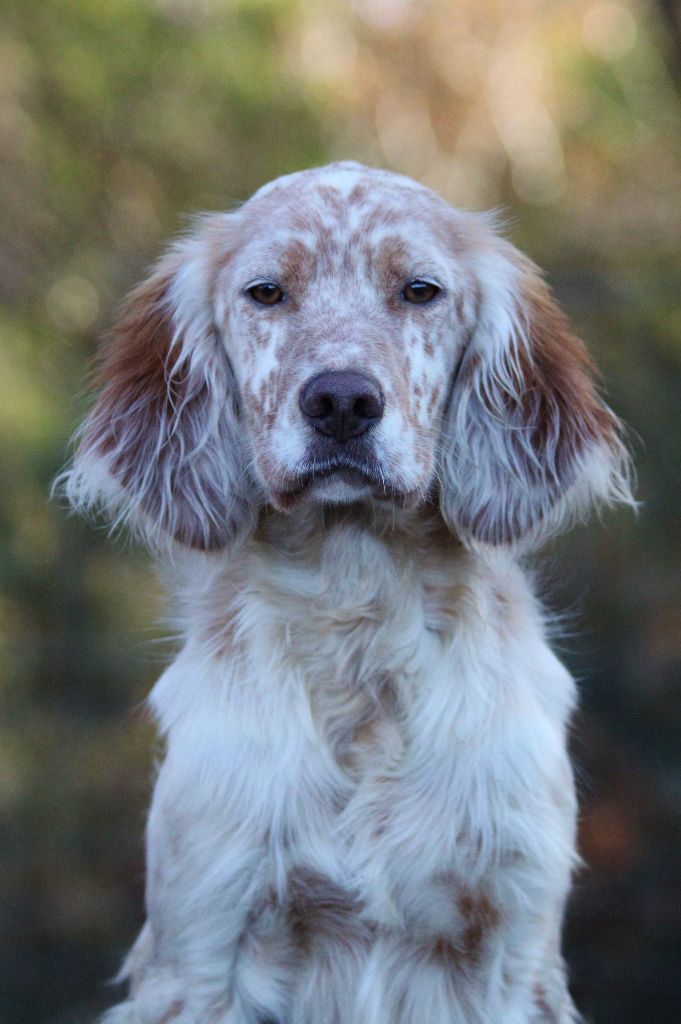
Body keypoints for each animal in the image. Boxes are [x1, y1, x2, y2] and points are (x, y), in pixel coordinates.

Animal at [61, 162, 633, 1023]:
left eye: (420, 290)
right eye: (266, 292)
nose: (340, 402)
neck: (359, 622)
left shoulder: (511, 949)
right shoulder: (206, 943)